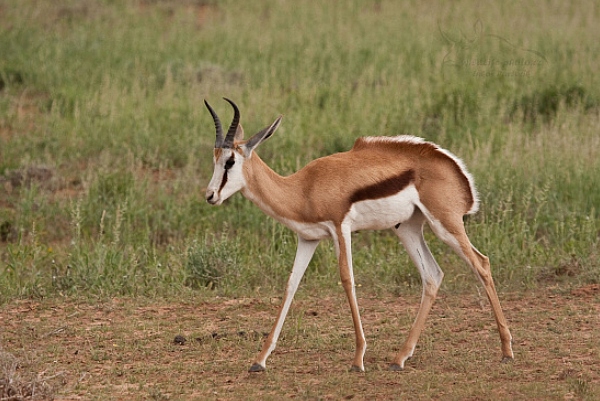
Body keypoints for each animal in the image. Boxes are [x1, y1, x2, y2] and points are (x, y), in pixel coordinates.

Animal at [204, 97, 512, 372]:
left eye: (230, 161)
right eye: (215, 159)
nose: (210, 196)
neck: (303, 189)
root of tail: (455, 170)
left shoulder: (341, 228)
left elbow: (347, 280)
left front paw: (358, 359)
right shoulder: (308, 239)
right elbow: (291, 284)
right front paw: (259, 360)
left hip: (446, 224)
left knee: (481, 263)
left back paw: (506, 351)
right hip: (408, 229)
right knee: (433, 276)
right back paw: (399, 359)